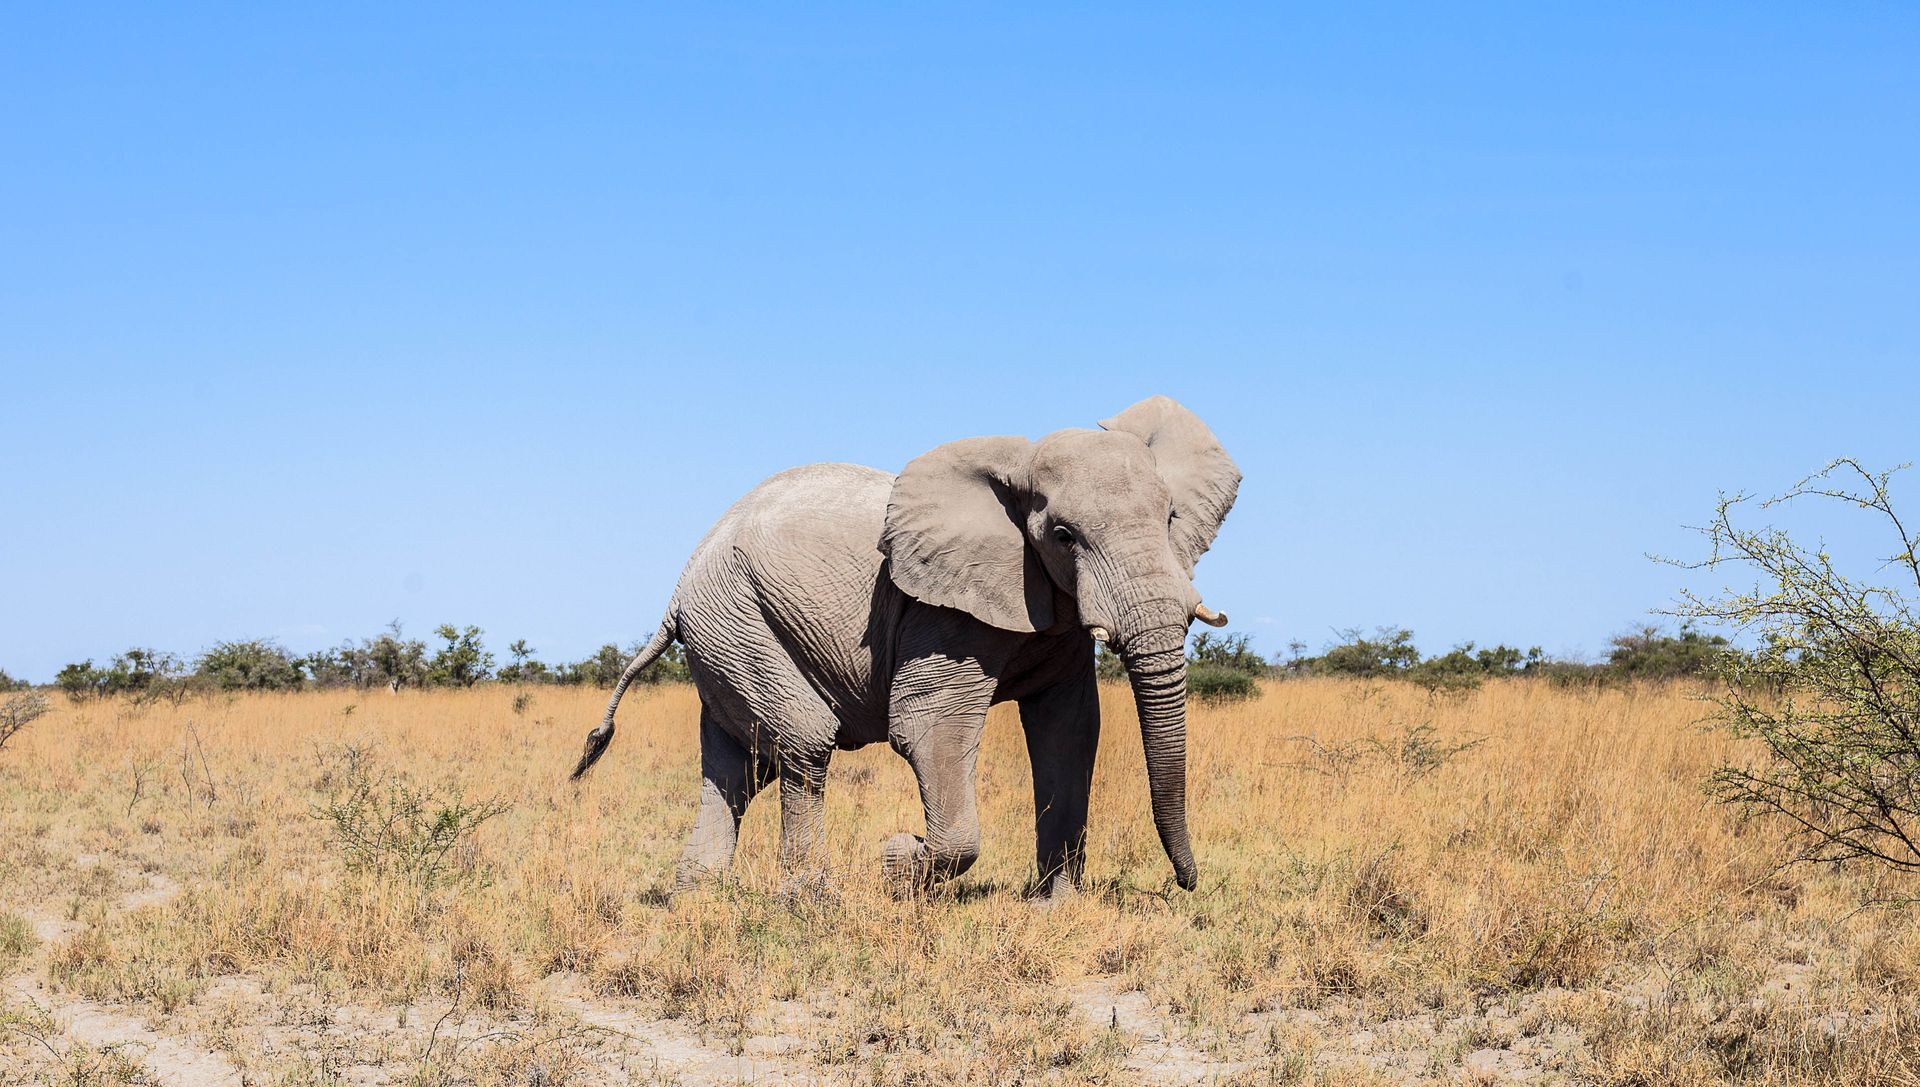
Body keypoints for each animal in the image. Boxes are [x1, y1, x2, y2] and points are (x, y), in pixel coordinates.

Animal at [570, 395, 1240, 899]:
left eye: (1171, 517)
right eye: (1063, 535)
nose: (1186, 884)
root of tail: (677, 592)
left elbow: (1069, 728)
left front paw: (1056, 904)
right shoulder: (943, 612)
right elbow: (929, 728)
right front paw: (895, 859)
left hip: (725, 636)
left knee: (739, 767)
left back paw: (696, 896)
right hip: (738, 619)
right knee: (804, 743)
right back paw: (810, 901)